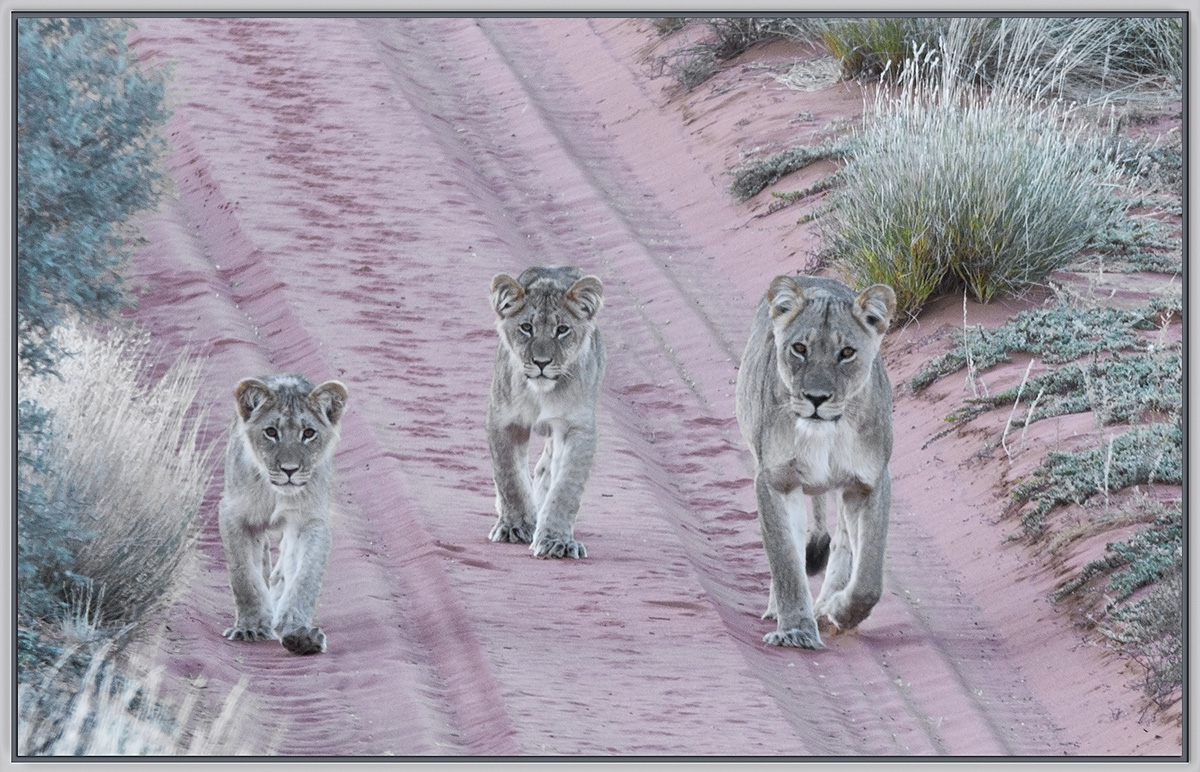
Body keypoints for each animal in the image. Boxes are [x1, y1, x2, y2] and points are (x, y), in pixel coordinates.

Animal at [217, 373, 348, 655]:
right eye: (271, 432)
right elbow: (244, 576)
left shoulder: (310, 521)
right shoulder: (234, 515)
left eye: (308, 433)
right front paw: (251, 627)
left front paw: (298, 633)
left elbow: (305, 578)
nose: (289, 470)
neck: (276, 493)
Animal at [486, 266, 605, 559]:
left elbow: (566, 488)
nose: (541, 363)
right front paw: (515, 526)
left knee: (546, 467)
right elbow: (509, 478)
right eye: (526, 327)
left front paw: (556, 541)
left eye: (562, 330)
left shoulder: (578, 427)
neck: (541, 393)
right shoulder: (503, 420)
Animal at [735, 275, 896, 649]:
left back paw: (826, 604)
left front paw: (839, 611)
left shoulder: (869, 483)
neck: (825, 434)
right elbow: (785, 559)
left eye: (847, 353)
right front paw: (796, 630)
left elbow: (868, 579)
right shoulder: (775, 479)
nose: (816, 398)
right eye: (799, 348)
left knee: (841, 541)